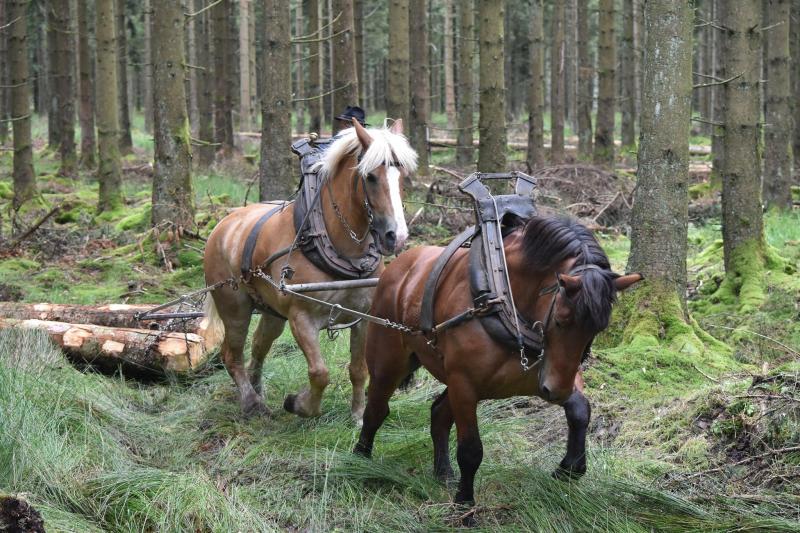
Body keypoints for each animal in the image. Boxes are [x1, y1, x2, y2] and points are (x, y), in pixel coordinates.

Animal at [203, 119, 418, 420]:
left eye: (403, 177)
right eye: (370, 177)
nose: (395, 237)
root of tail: (223, 225)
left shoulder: (363, 316)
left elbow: (358, 369)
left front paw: (358, 415)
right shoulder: (302, 318)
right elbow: (320, 373)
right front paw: (301, 405)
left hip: (271, 311)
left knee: (259, 344)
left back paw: (257, 389)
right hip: (234, 308)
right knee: (231, 355)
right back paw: (251, 402)